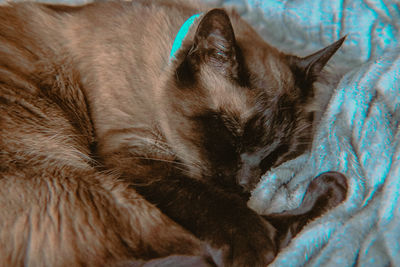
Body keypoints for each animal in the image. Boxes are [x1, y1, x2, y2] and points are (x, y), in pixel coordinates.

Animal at [0, 1, 346, 266]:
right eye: (231, 135)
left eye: (277, 154)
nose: (246, 185)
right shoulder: (133, 153)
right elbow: (203, 197)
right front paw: (253, 239)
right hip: (82, 178)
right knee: (203, 251)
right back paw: (329, 188)